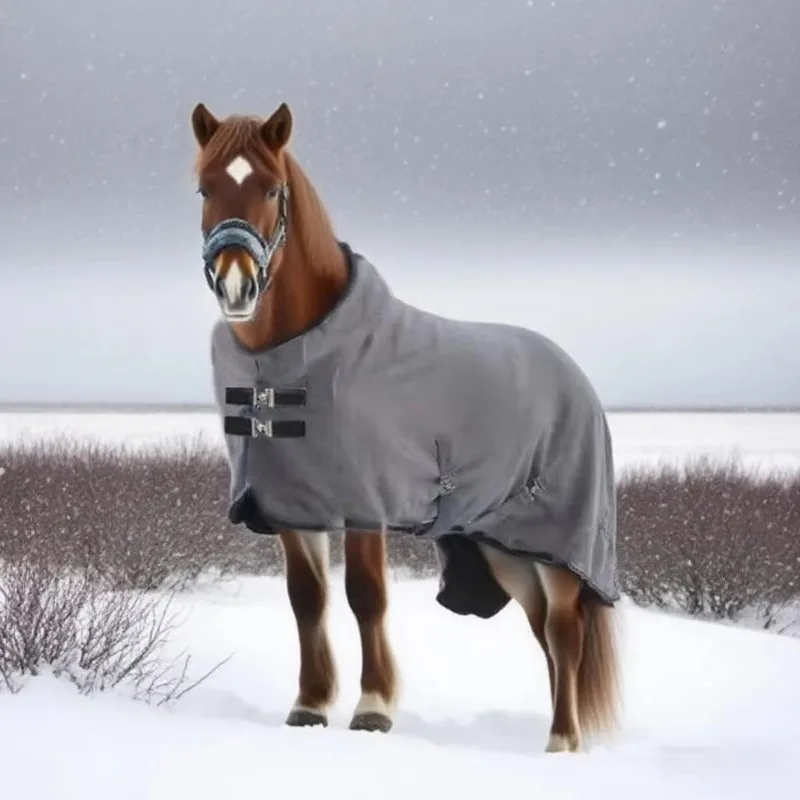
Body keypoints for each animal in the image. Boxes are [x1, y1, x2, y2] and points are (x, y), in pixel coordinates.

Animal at [190, 101, 622, 753]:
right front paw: (309, 705)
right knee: (545, 636)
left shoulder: (366, 506)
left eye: (271, 188)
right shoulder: (292, 508)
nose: (236, 284)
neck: (296, 360)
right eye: (204, 187)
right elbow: (306, 600)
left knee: (565, 632)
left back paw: (561, 742)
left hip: (558, 547)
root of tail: (577, 379)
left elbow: (365, 597)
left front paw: (373, 708)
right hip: (506, 550)